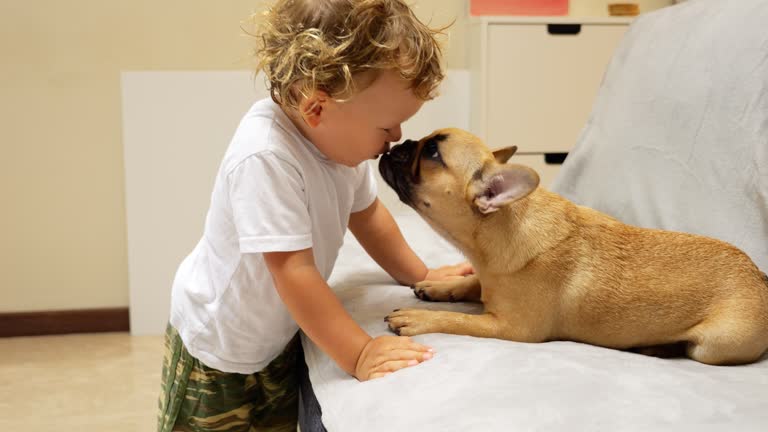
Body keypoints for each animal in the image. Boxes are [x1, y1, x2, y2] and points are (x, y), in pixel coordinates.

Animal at [380, 127, 768, 364]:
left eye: (431, 152)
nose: (400, 145)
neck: (500, 228)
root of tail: (760, 278)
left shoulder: (510, 329)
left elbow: (458, 320)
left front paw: (418, 318)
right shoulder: (488, 280)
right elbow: (470, 283)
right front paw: (440, 285)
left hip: (714, 346)